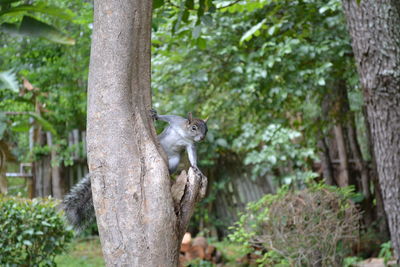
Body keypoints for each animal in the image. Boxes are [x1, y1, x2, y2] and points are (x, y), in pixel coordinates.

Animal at [62, 110, 208, 231]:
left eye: (206, 130)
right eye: (194, 127)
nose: (202, 138)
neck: (185, 134)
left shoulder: (190, 145)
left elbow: (192, 156)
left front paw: (196, 168)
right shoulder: (176, 121)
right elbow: (168, 117)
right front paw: (156, 115)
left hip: (175, 160)